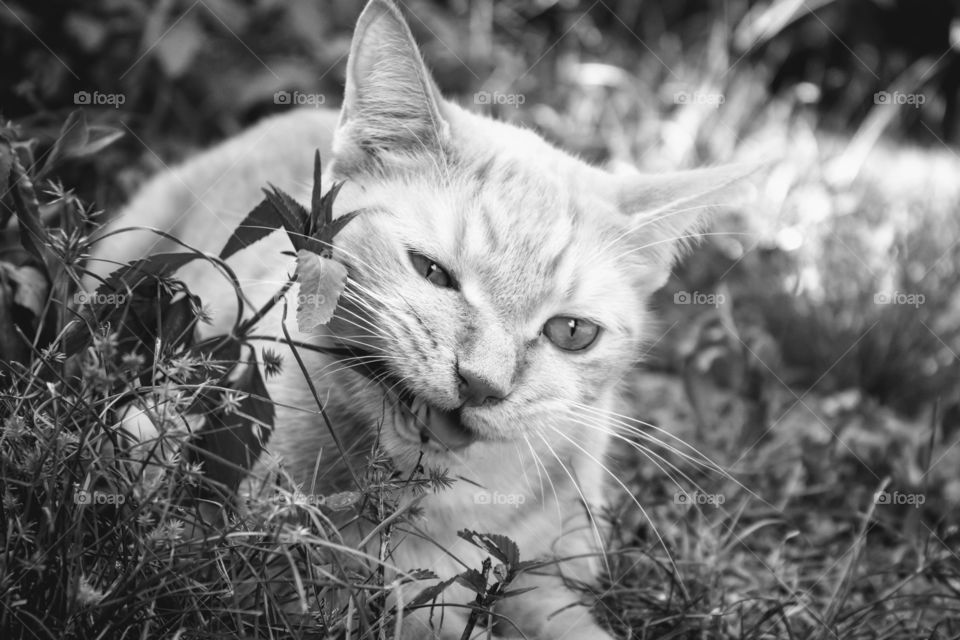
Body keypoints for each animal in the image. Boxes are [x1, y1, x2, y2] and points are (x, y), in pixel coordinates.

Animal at [88, 1, 752, 640]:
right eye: (432, 272)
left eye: (571, 332)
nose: (481, 385)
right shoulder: (234, 542)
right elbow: (393, 609)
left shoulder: (548, 577)